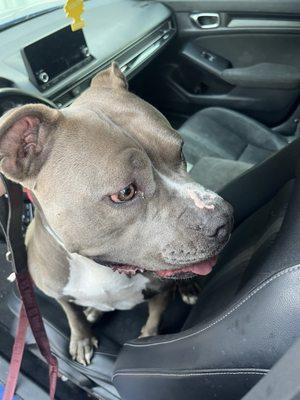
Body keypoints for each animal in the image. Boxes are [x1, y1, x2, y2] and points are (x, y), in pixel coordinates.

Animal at [0, 63, 233, 366]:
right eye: (125, 192)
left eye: (180, 151)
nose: (224, 220)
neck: (100, 268)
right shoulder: (58, 292)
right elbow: (72, 315)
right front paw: (82, 338)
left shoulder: (160, 291)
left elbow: (154, 319)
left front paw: (147, 340)